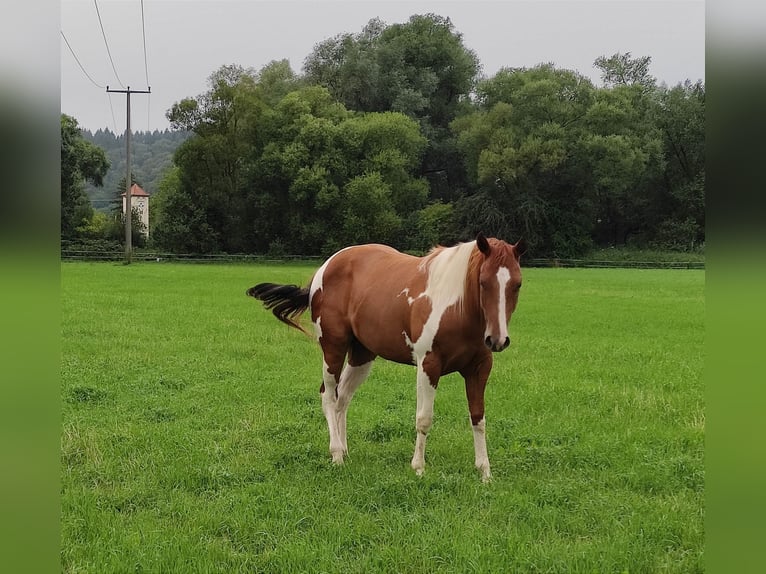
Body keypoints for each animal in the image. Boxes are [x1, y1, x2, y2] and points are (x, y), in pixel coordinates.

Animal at [249, 234, 524, 482]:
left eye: (517, 284)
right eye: (483, 282)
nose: (497, 340)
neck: (457, 307)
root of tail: (325, 269)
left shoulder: (479, 369)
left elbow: (478, 418)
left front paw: (484, 472)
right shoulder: (428, 365)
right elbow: (424, 418)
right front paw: (418, 468)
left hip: (362, 355)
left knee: (342, 399)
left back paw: (345, 450)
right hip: (333, 349)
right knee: (328, 396)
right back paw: (336, 454)